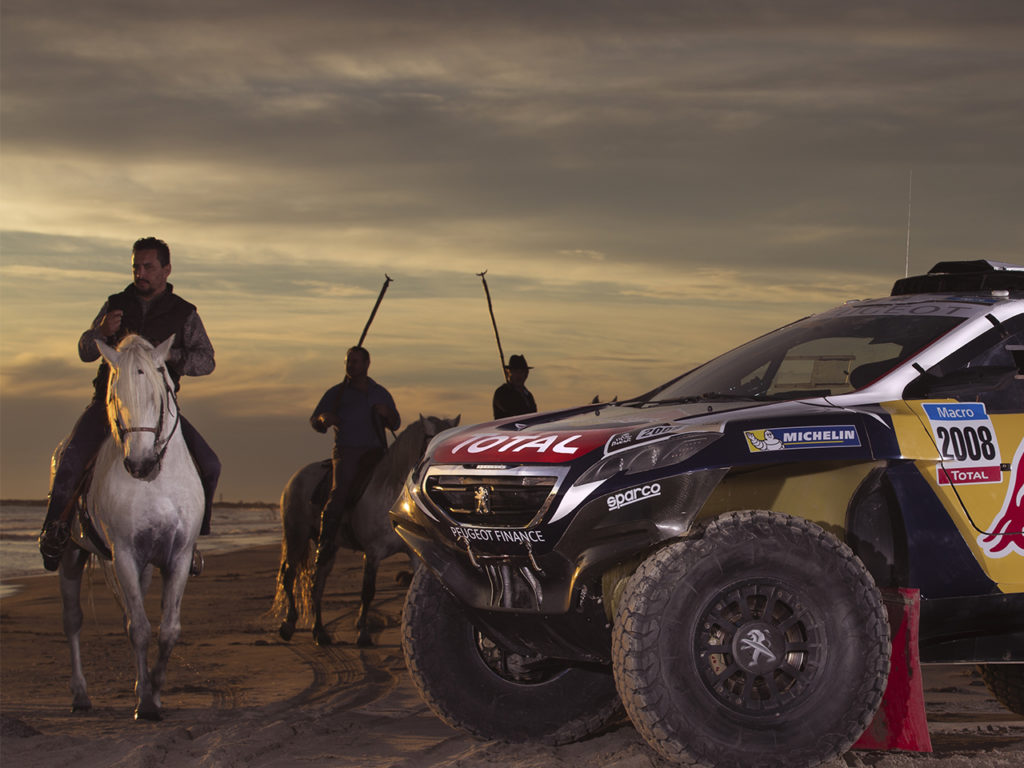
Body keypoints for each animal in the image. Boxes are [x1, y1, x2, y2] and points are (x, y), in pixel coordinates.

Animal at [56, 335, 203, 720]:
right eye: (113, 396)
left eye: (158, 392)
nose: (139, 464)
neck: (155, 482)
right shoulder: (123, 554)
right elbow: (138, 628)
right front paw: (145, 704)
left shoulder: (178, 556)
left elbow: (168, 630)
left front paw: (155, 690)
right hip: (72, 555)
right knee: (72, 620)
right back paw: (80, 695)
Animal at [276, 415, 460, 651]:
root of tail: (296, 477)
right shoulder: (373, 552)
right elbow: (367, 591)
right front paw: (363, 633)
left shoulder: (414, 553)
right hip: (296, 535)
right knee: (288, 575)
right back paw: (288, 625)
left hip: (328, 544)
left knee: (318, 581)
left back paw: (319, 632)